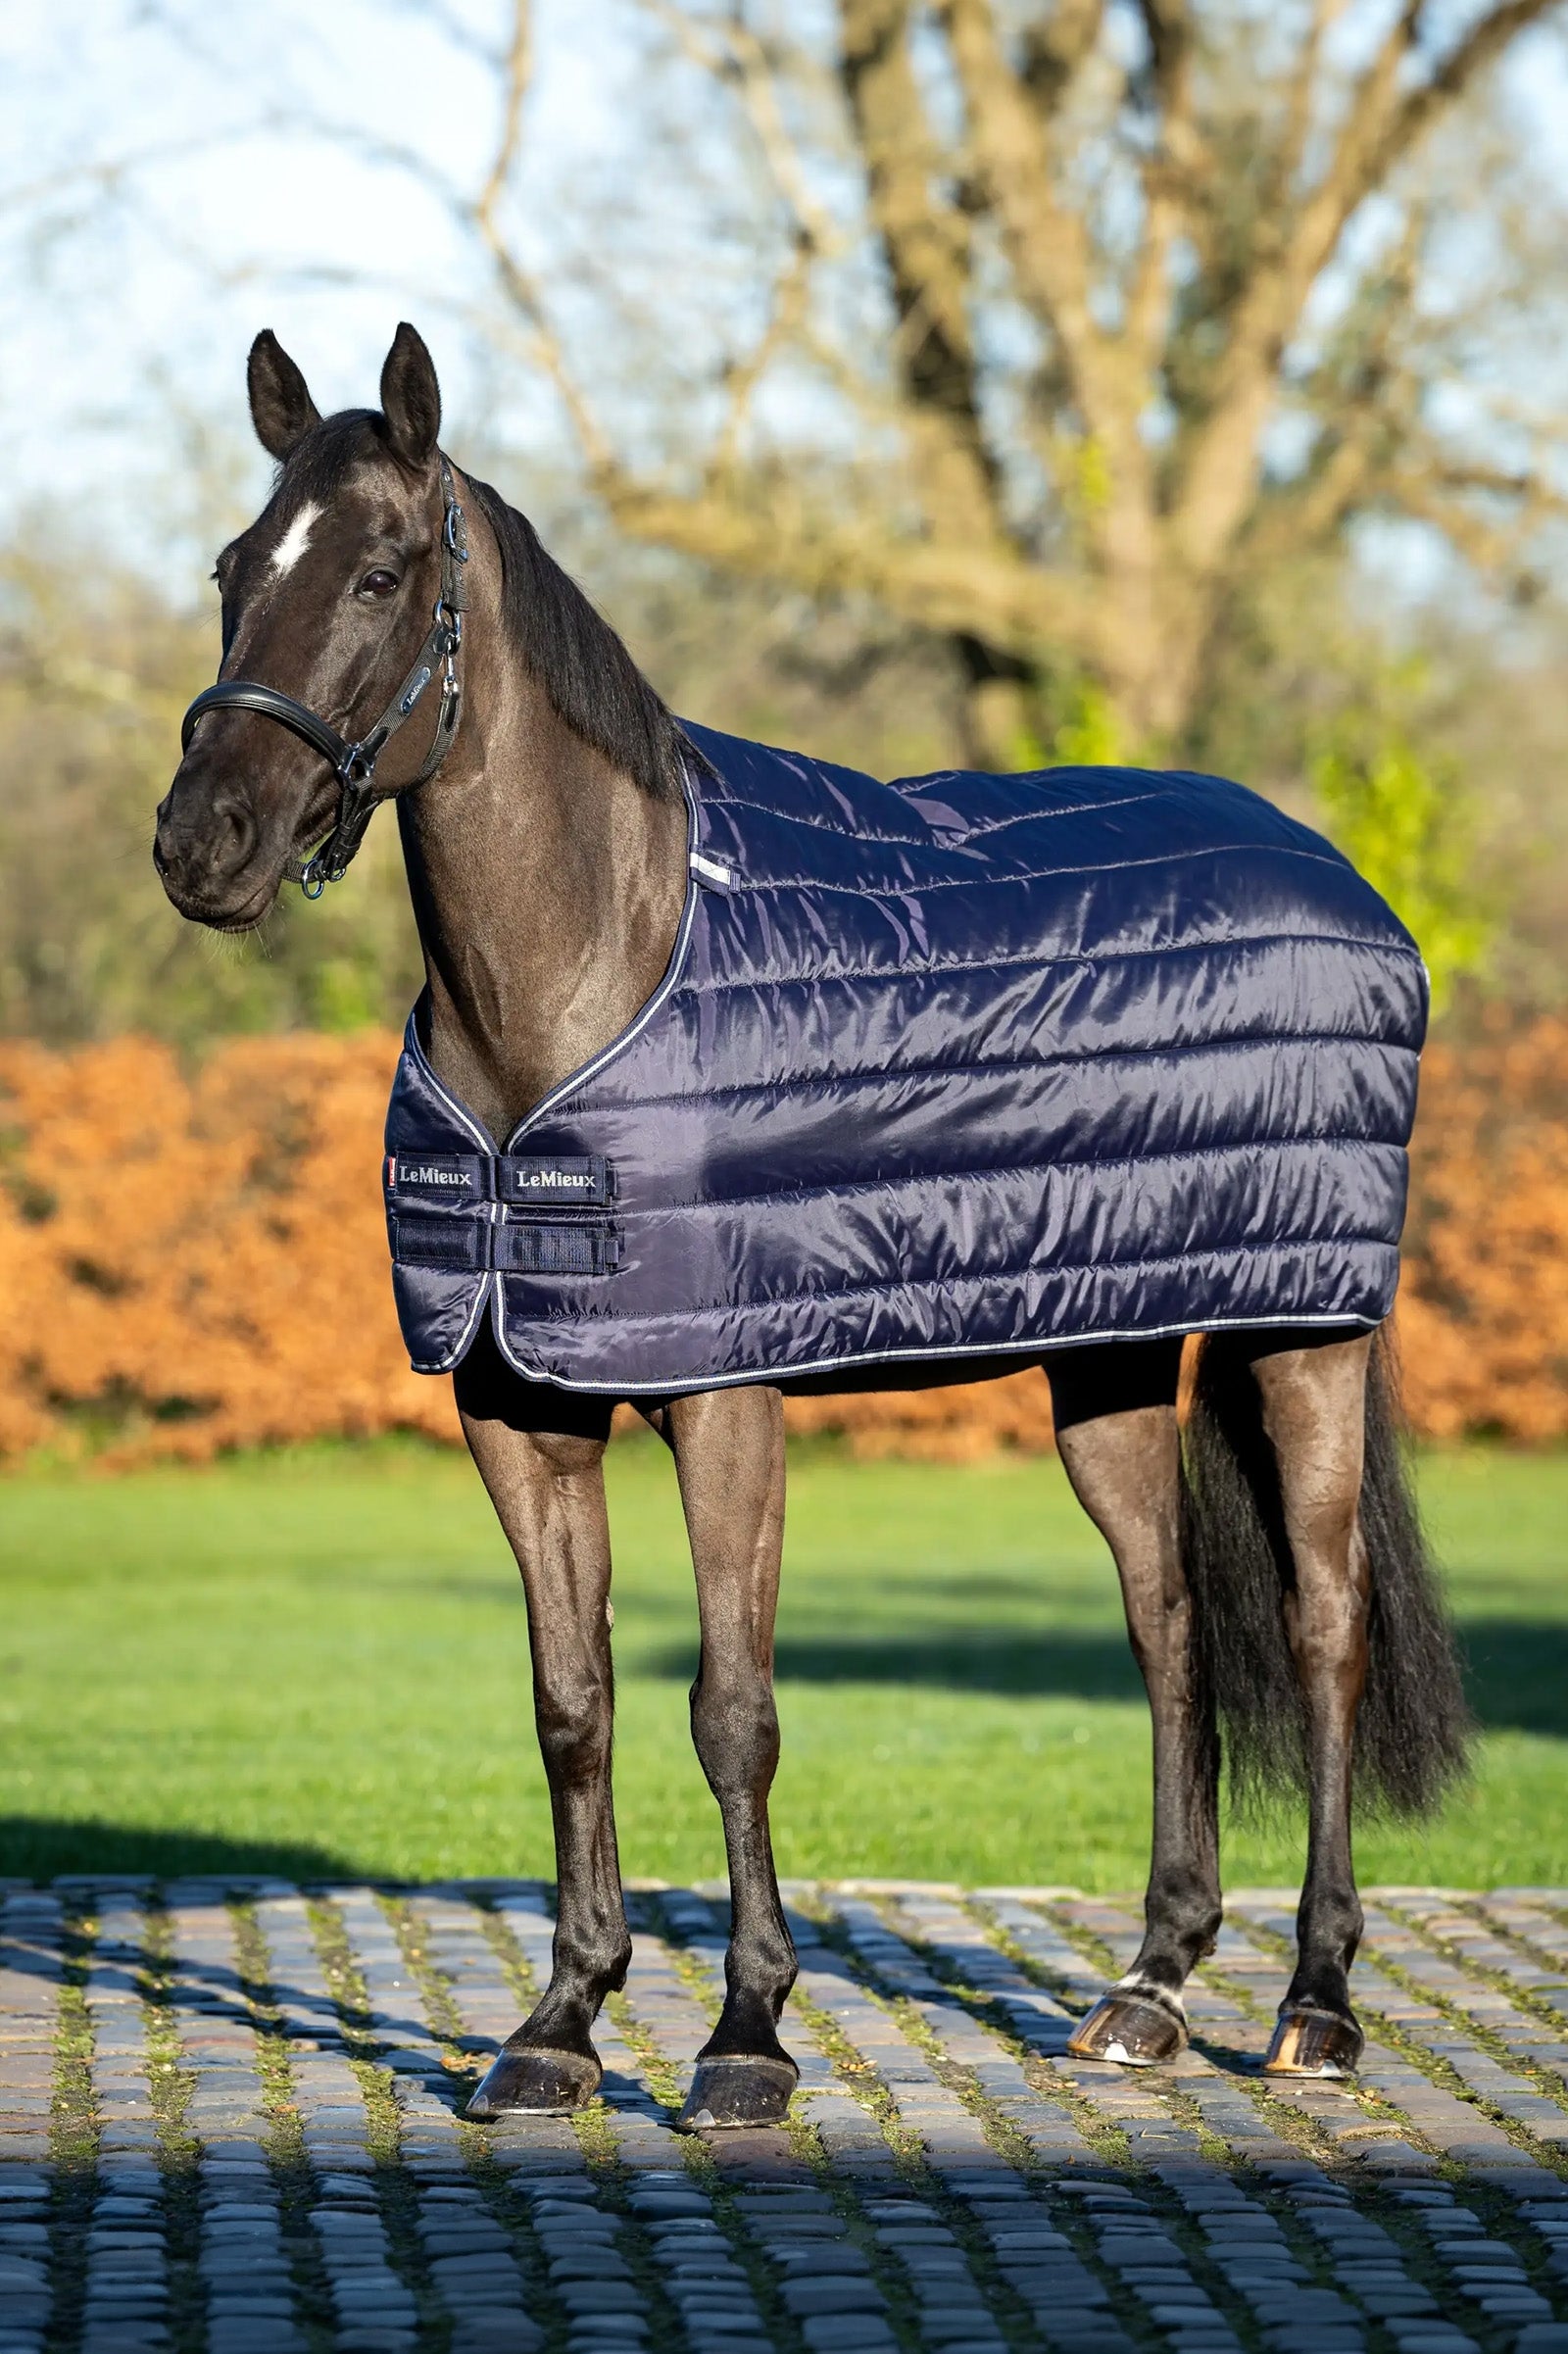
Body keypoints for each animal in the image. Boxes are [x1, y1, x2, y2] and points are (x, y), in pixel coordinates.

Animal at [155, 323, 1470, 2133]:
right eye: (230, 569)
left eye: (375, 571)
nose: (197, 841)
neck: (600, 962)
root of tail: (1339, 876)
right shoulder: (515, 1404)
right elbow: (572, 1702)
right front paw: (560, 2022)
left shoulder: (727, 1397)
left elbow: (734, 1707)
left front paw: (745, 2036)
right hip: (1113, 1359)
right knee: (1170, 1624)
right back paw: (1147, 1990)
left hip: (1303, 1331)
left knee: (1321, 1625)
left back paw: (1318, 2006)